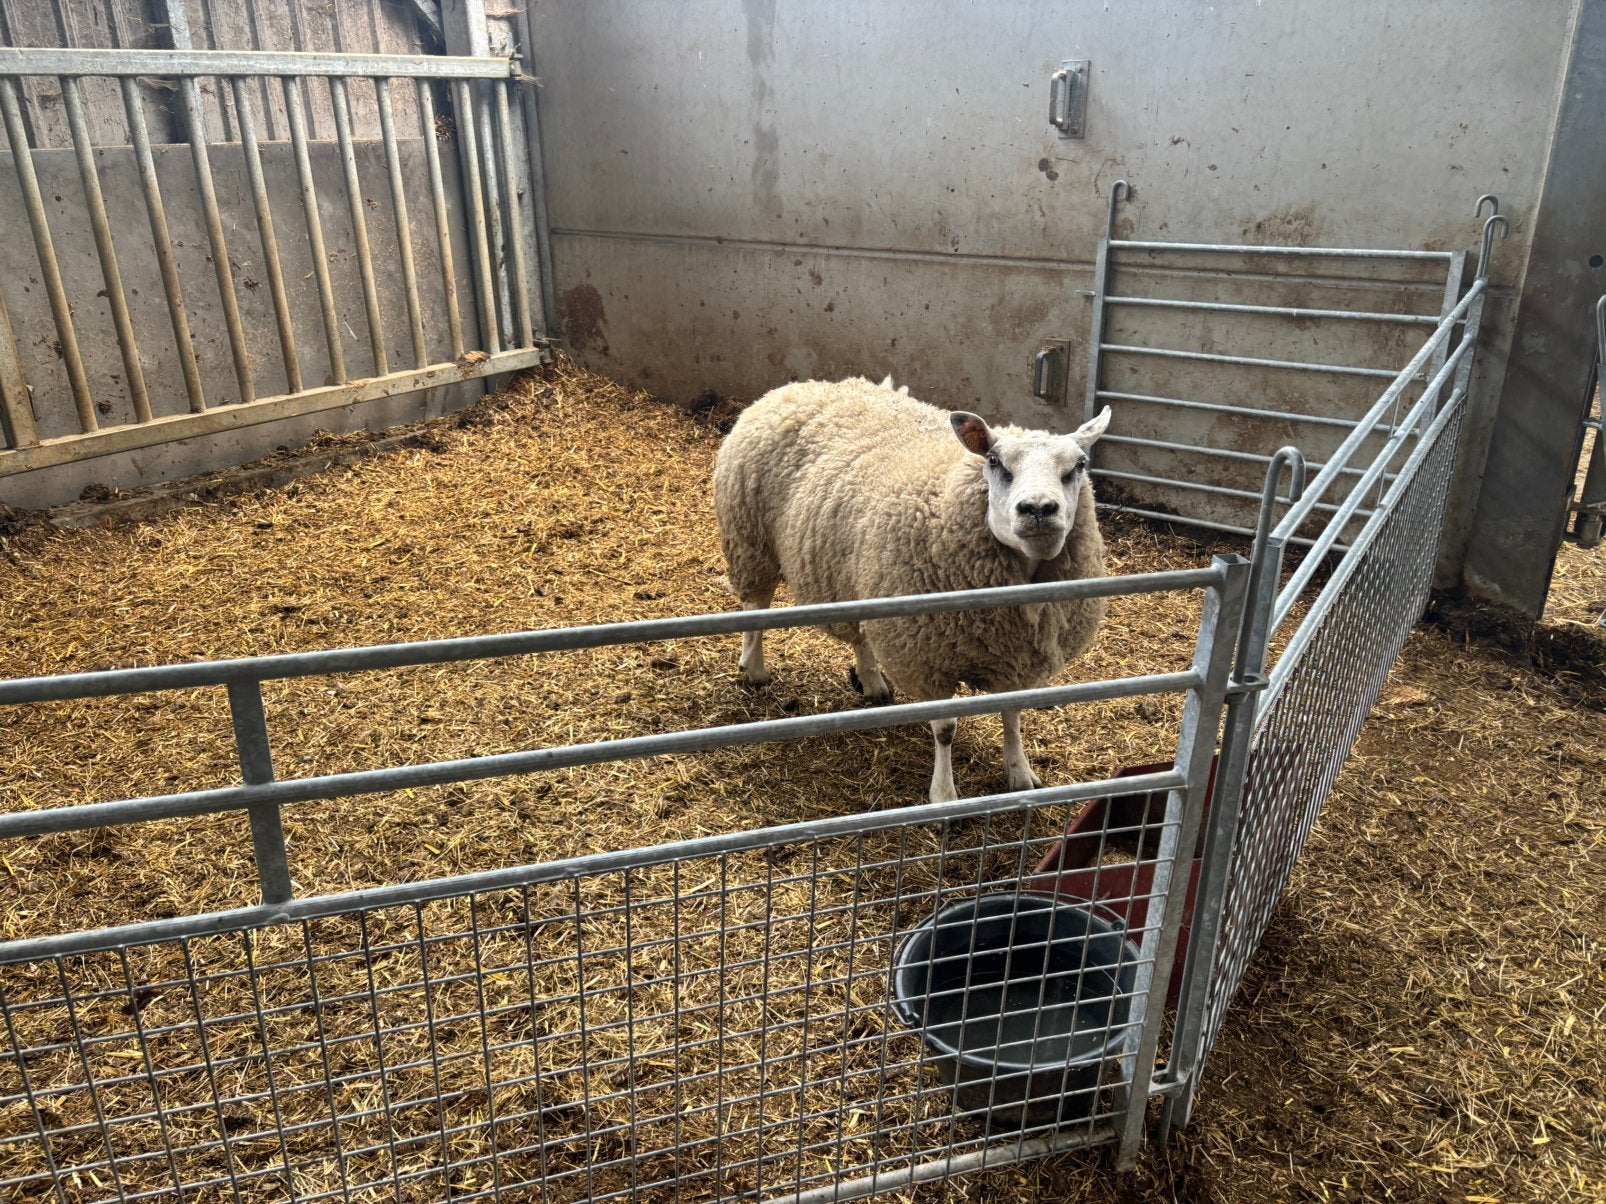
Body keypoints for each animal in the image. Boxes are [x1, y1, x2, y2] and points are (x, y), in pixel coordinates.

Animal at [713, 374, 1111, 803]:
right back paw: (753, 668)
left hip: (860, 580)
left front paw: (1020, 774)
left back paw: (872, 682)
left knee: (860, 634)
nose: (1038, 509)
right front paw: (944, 795)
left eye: (1080, 465)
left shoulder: (1015, 658)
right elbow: (945, 730)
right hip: (751, 540)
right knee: (756, 605)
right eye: (994, 461)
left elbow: (1012, 715)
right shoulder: (927, 661)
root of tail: (792, 387)